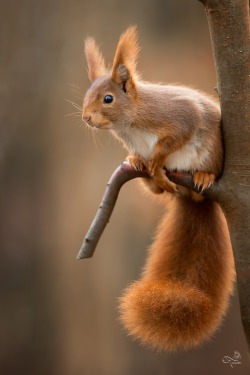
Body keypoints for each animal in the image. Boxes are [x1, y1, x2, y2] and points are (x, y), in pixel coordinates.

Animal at [81, 27, 234, 352]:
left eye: (108, 98)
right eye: (87, 96)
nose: (85, 118)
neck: (130, 124)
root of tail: (195, 198)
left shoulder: (180, 117)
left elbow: (172, 141)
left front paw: (156, 161)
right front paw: (141, 161)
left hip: (212, 152)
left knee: (202, 171)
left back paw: (201, 176)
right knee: (156, 192)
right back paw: (145, 170)